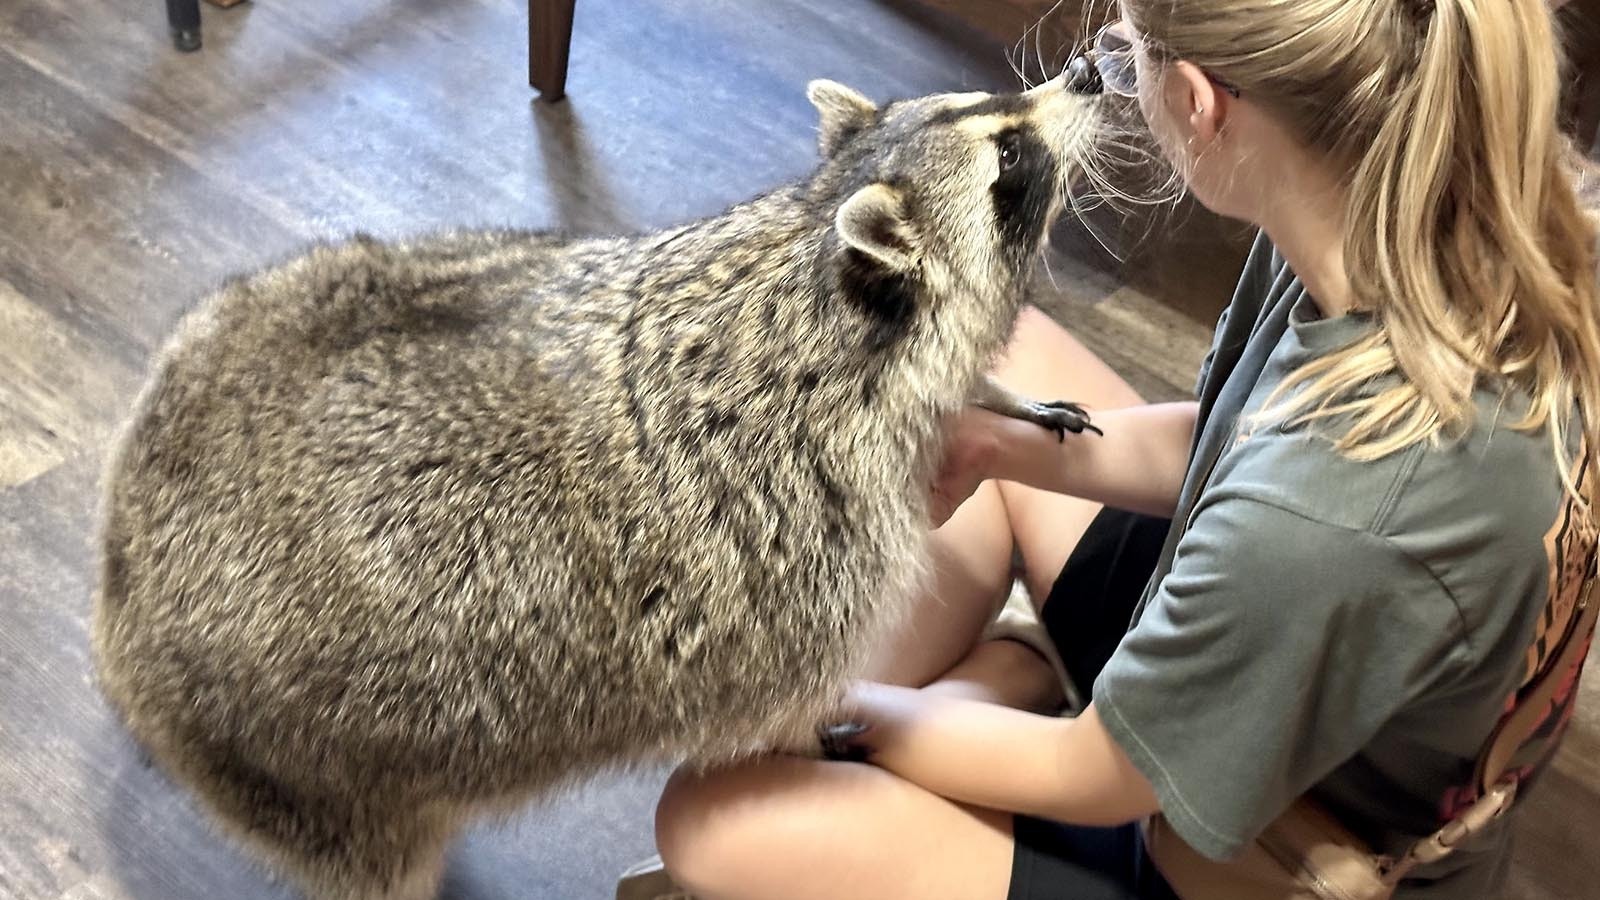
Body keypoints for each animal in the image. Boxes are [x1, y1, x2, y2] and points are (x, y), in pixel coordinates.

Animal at [93, 71, 1107, 896]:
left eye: (984, 102)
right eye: (1008, 155)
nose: (1090, 71)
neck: (812, 260)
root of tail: (121, 555)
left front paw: (998, 399)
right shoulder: (802, 574)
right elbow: (783, 711)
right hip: (304, 771)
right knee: (378, 864)